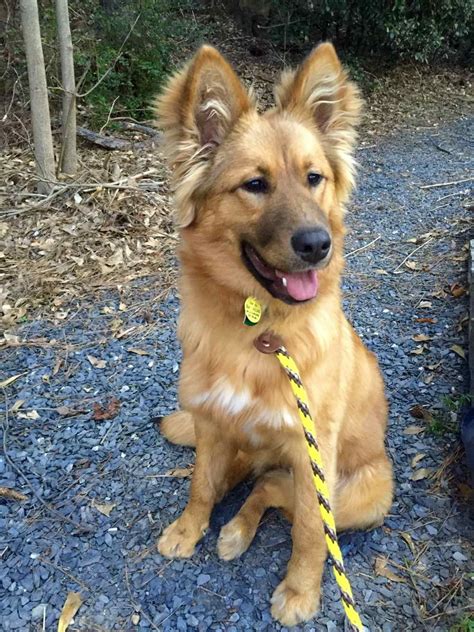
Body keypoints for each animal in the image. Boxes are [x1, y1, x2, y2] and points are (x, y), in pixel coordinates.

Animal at [156, 42, 392, 624]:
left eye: (314, 178)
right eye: (255, 185)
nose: (317, 244)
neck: (261, 331)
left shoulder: (314, 452)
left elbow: (309, 529)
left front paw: (302, 591)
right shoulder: (212, 420)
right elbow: (200, 483)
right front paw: (188, 529)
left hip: (363, 495)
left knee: (273, 489)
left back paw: (240, 529)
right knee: (249, 477)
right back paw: (231, 523)